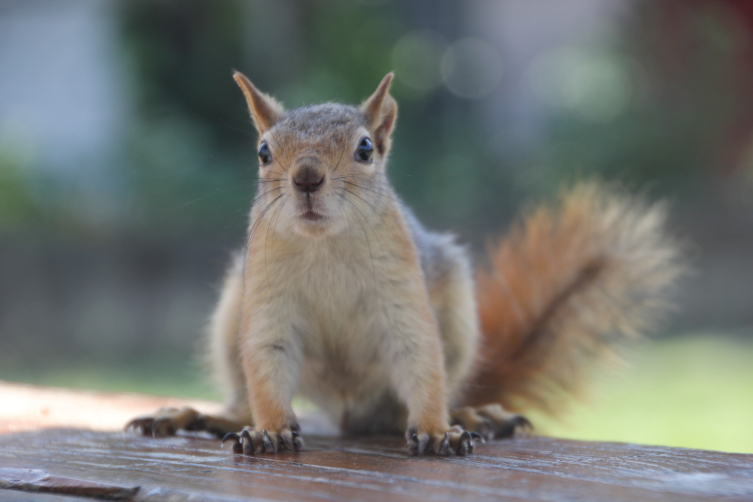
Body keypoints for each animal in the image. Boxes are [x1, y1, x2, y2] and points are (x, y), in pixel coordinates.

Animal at [128, 71, 680, 458]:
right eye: (264, 152)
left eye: (365, 148)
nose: (306, 177)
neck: (325, 244)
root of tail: (351, 414)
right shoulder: (265, 297)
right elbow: (266, 360)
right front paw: (268, 431)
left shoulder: (402, 289)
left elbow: (419, 354)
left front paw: (438, 430)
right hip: (230, 318)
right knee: (241, 395)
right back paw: (198, 417)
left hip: (455, 316)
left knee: (406, 409)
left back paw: (469, 415)